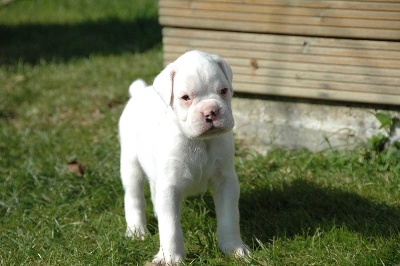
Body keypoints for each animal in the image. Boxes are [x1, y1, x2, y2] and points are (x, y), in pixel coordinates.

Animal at [118, 50, 250, 264]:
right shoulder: (170, 186)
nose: (211, 111)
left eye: (223, 91)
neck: (199, 142)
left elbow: (229, 217)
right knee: (134, 197)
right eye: (185, 97)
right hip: (131, 166)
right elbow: (171, 226)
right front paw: (171, 258)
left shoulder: (226, 181)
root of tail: (139, 92)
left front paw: (233, 248)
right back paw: (136, 231)